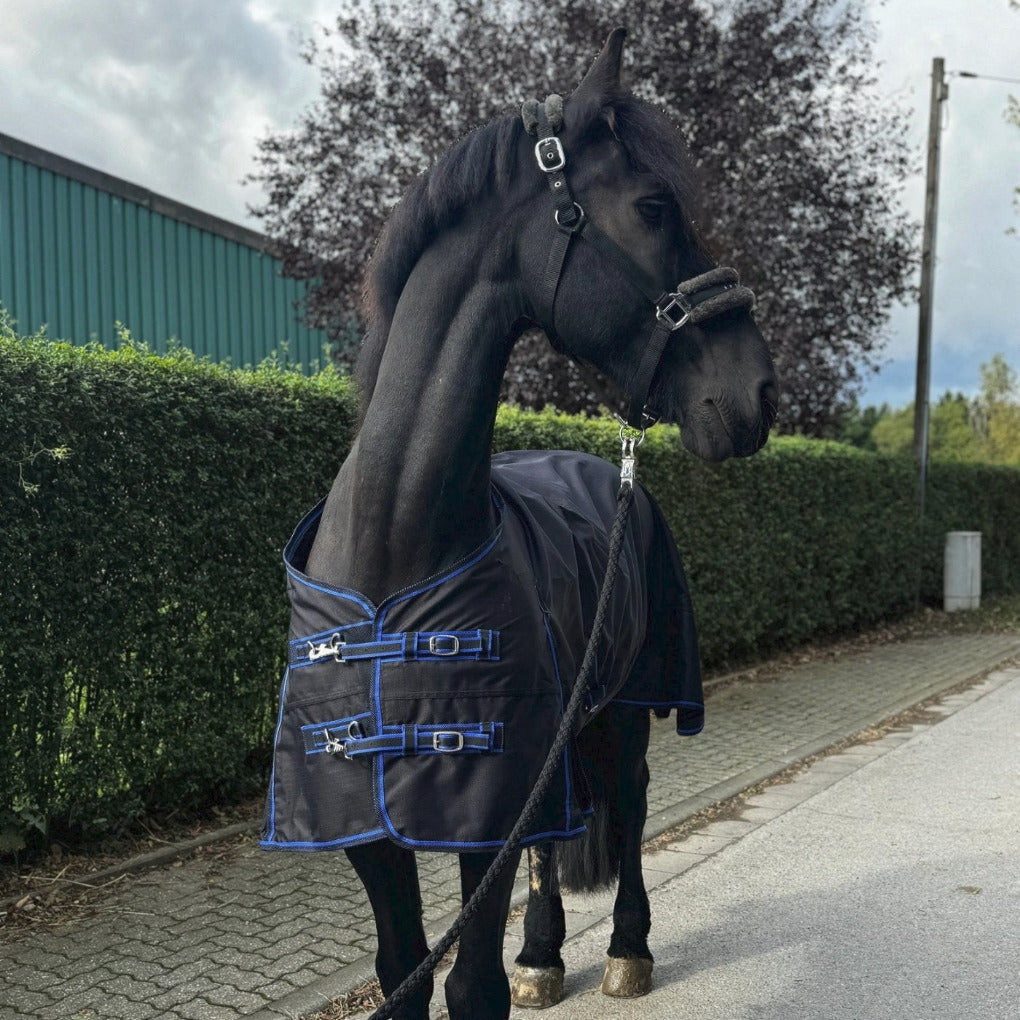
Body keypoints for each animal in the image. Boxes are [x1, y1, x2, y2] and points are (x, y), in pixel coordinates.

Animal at [261, 28, 778, 1020]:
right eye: (653, 206)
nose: (758, 392)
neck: (394, 556)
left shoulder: (489, 794)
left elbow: (471, 987)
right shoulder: (369, 821)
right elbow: (403, 970)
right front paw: (526, 958)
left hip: (624, 709)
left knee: (631, 808)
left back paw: (625, 951)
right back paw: (543, 952)